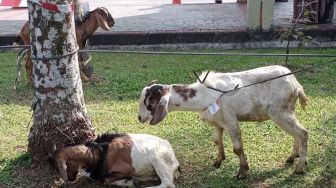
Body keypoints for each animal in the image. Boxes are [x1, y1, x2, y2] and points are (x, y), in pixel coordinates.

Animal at [49, 133, 180, 187]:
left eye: (57, 167)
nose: (70, 179)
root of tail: (176, 162)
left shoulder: (128, 169)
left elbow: (106, 180)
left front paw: (127, 182)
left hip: (158, 159)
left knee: (168, 184)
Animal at [138, 65, 308, 179]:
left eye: (149, 101)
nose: (139, 118)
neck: (206, 94)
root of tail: (296, 84)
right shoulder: (217, 122)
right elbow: (216, 140)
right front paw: (218, 161)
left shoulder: (230, 120)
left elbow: (237, 148)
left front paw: (242, 172)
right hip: (288, 111)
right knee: (296, 134)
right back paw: (292, 158)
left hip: (279, 112)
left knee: (303, 133)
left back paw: (300, 167)